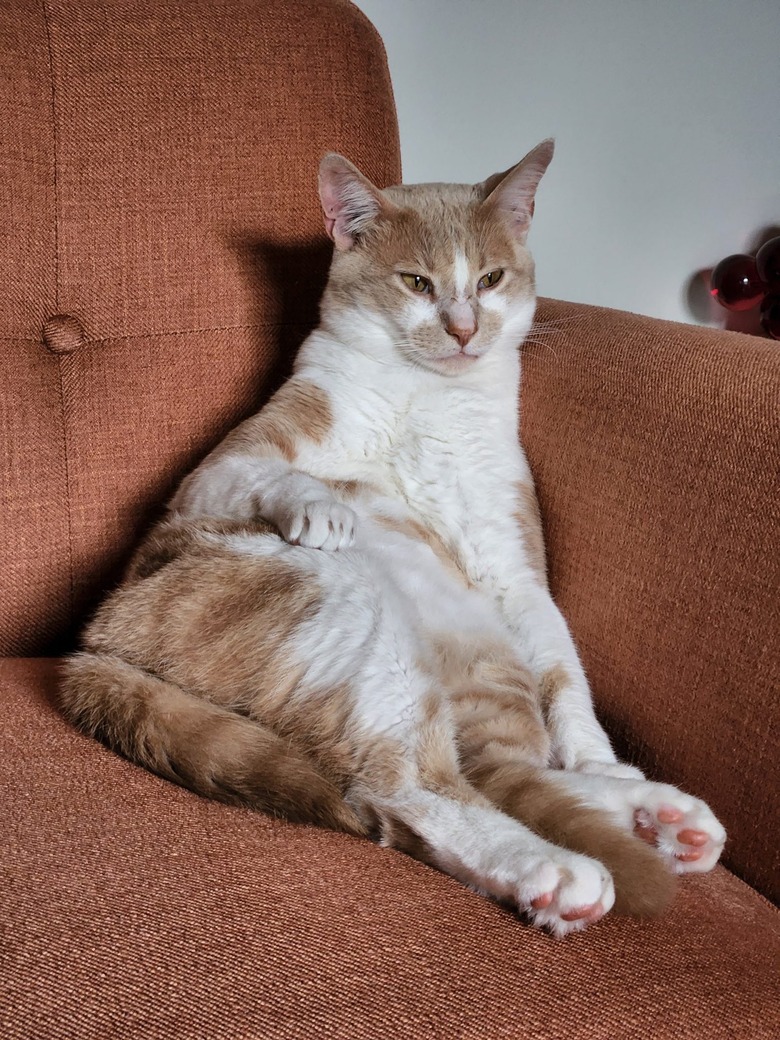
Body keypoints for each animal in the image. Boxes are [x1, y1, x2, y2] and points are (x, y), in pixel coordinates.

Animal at [59, 138, 728, 935]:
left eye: (491, 278)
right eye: (416, 282)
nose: (465, 328)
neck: (430, 396)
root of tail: (95, 642)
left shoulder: (514, 572)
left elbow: (567, 679)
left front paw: (597, 760)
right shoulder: (217, 471)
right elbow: (276, 477)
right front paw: (323, 506)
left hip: (482, 653)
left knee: (500, 771)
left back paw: (654, 816)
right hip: (346, 603)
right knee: (409, 790)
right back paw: (556, 871)